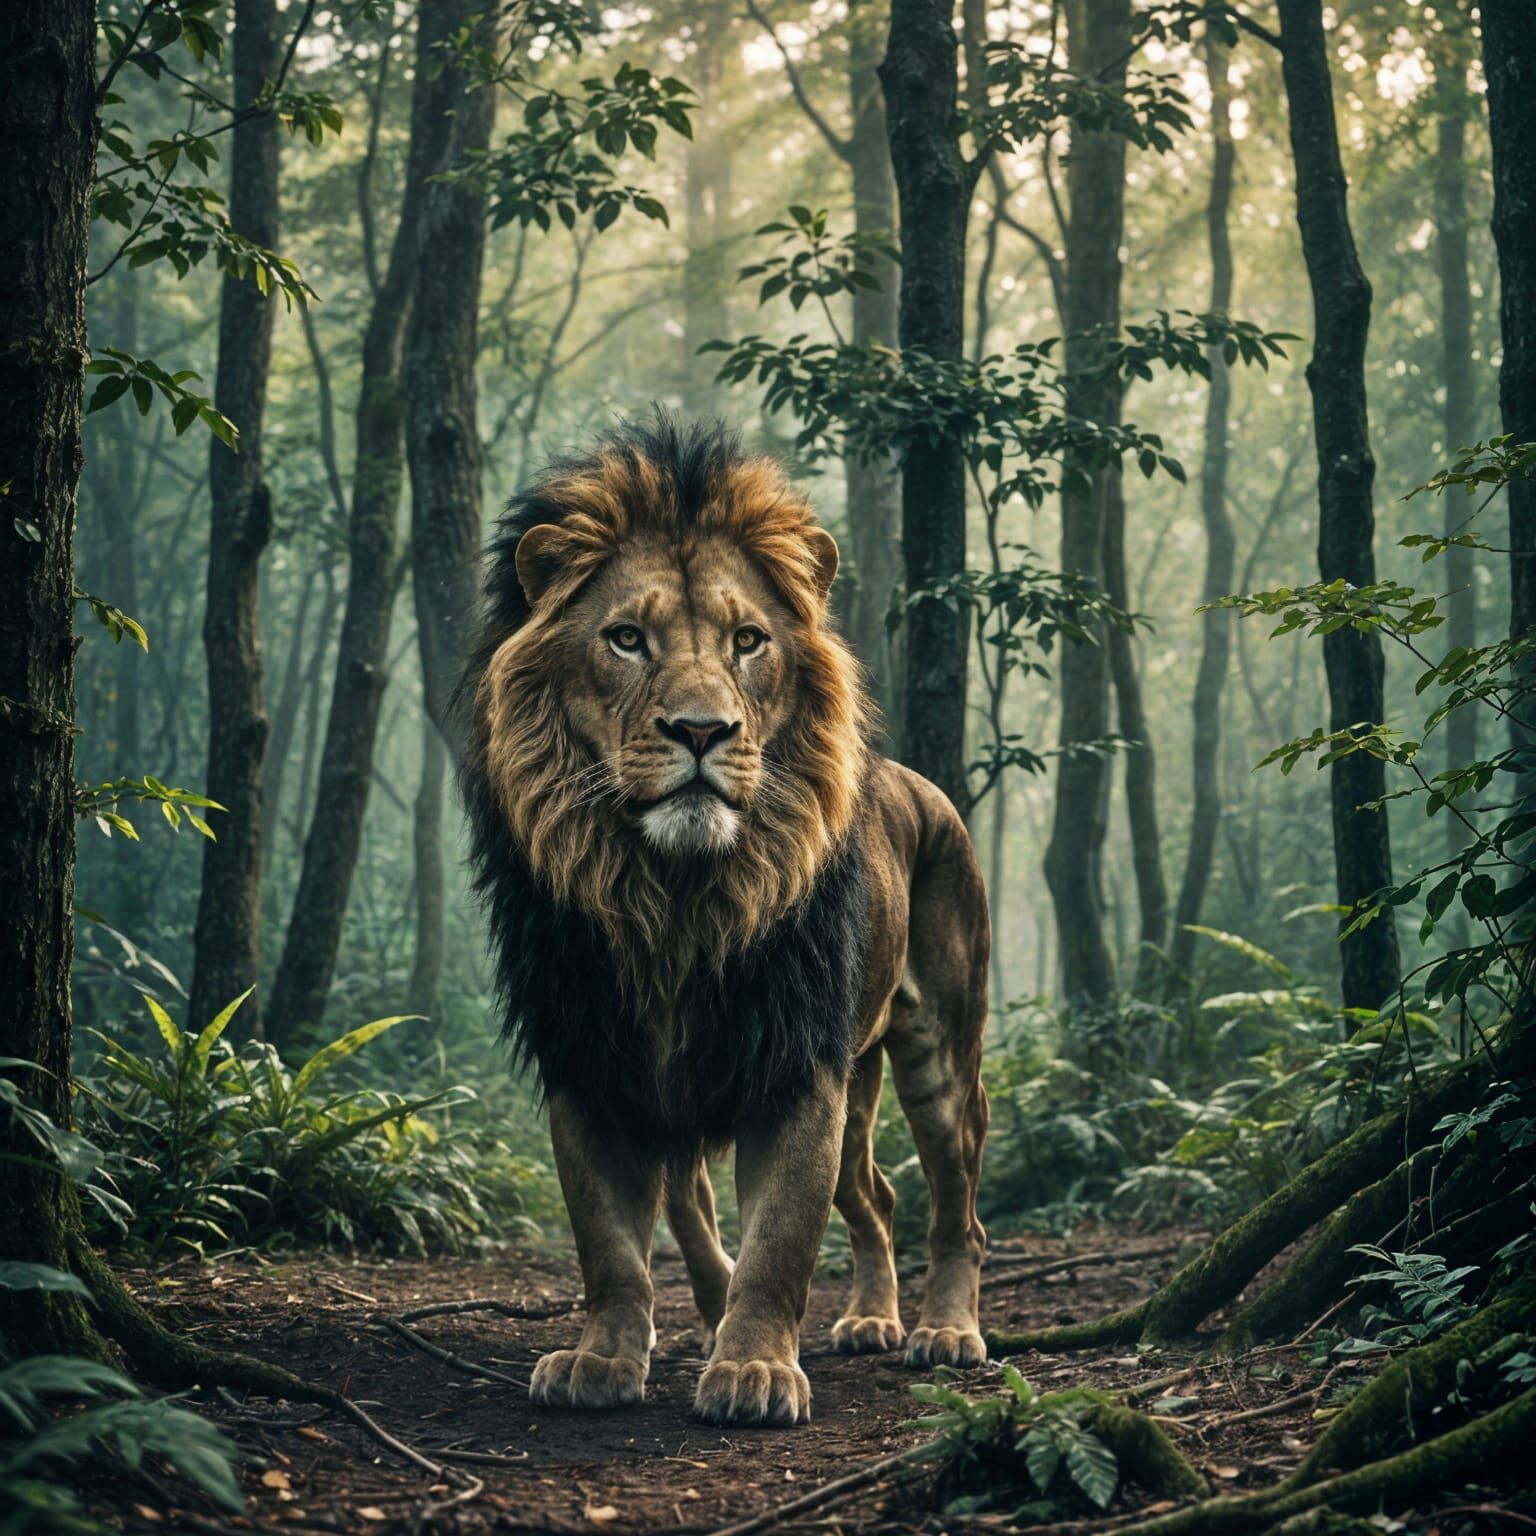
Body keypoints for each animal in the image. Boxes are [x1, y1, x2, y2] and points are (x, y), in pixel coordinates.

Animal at [463, 413, 990, 1427]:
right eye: (627, 639)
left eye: (748, 641)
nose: (701, 731)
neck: (672, 895)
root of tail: (924, 786)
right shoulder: (592, 1058)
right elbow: (612, 1243)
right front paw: (604, 1357)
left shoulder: (794, 1064)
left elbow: (781, 1236)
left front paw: (752, 1369)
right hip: (840, 1083)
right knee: (865, 1199)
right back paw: (863, 1317)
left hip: (940, 1050)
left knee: (956, 1207)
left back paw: (945, 1332)